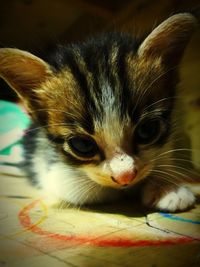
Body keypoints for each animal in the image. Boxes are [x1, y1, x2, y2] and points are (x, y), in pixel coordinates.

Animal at [0, 13, 199, 213]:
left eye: (147, 130)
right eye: (82, 144)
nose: (125, 176)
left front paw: (166, 186)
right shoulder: (51, 166)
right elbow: (85, 191)